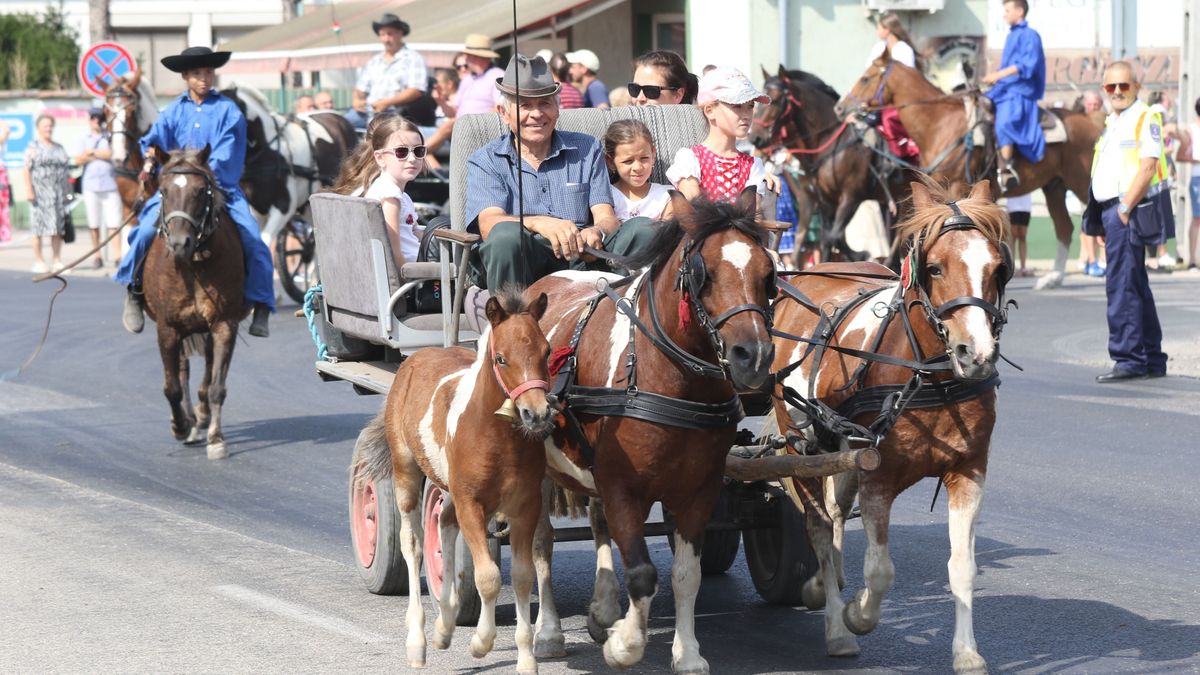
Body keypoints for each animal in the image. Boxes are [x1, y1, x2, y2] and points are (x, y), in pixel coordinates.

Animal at [142, 145, 248, 458]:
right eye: (163, 191)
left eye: (201, 191)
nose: (180, 244)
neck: (193, 265)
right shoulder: (167, 328)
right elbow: (172, 387)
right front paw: (180, 425)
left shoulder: (224, 325)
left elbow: (216, 386)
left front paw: (215, 437)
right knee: (181, 371)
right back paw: (188, 420)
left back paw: (200, 417)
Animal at [348, 285, 552, 667]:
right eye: (501, 358)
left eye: (546, 351)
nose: (537, 414)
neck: (498, 438)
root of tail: (417, 356)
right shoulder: (472, 503)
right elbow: (488, 576)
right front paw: (481, 642)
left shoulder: (526, 506)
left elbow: (522, 576)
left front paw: (526, 659)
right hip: (406, 471)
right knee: (413, 544)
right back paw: (418, 641)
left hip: (451, 491)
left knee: (442, 524)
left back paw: (444, 626)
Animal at [528, 190, 772, 672]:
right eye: (703, 272)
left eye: (768, 273)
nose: (753, 356)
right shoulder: (624, 487)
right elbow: (642, 573)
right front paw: (625, 644)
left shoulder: (699, 490)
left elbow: (685, 574)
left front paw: (687, 652)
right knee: (542, 543)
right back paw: (548, 632)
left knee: (598, 523)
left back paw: (603, 608)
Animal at [768, 176, 1012, 667]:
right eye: (934, 268)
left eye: (997, 269)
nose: (975, 355)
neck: (928, 377)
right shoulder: (877, 477)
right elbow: (880, 569)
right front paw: (857, 616)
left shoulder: (968, 472)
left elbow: (962, 568)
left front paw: (967, 653)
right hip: (799, 445)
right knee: (818, 527)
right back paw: (836, 626)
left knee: (835, 513)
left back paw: (826, 584)